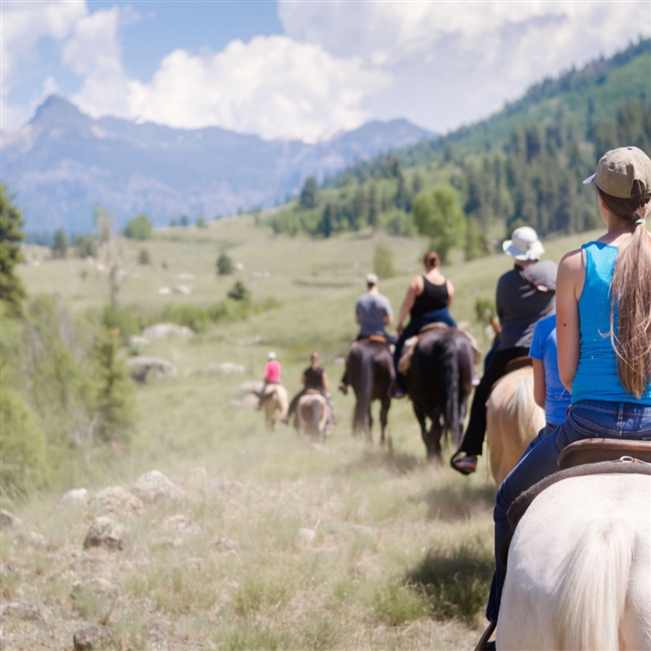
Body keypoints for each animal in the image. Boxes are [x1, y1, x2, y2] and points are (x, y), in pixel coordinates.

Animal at [408, 328, 474, 460]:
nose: (429, 454)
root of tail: (446, 339)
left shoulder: (417, 404)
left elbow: (426, 428)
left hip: (427, 399)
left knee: (437, 426)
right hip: (463, 394)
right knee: (458, 423)